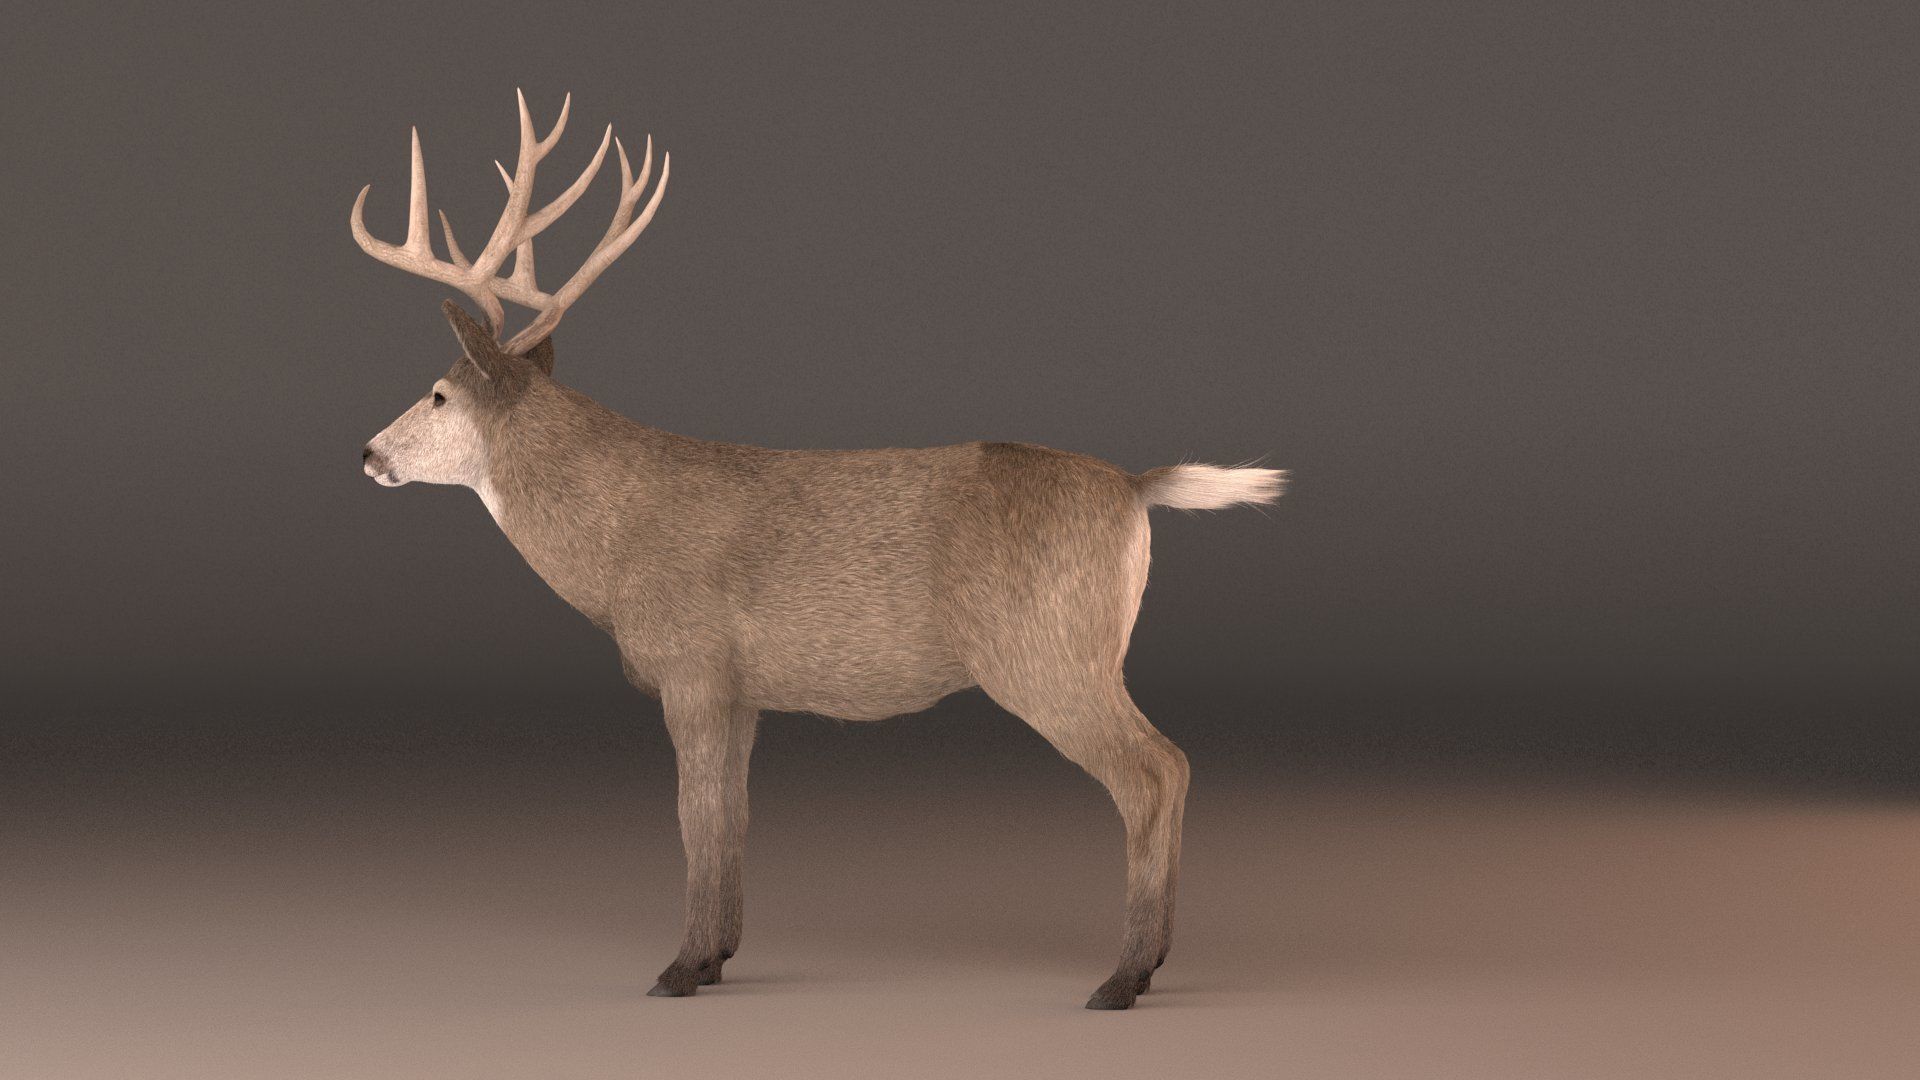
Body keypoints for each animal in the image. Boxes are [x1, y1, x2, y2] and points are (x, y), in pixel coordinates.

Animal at [352, 92, 1285, 1010]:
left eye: (438, 395)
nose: (368, 453)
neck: (613, 546)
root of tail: (1135, 487)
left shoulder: (692, 664)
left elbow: (694, 816)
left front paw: (677, 968)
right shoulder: (743, 691)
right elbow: (732, 816)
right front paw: (717, 955)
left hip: (1047, 650)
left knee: (1154, 771)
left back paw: (1123, 978)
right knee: (1169, 767)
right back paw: (1147, 964)